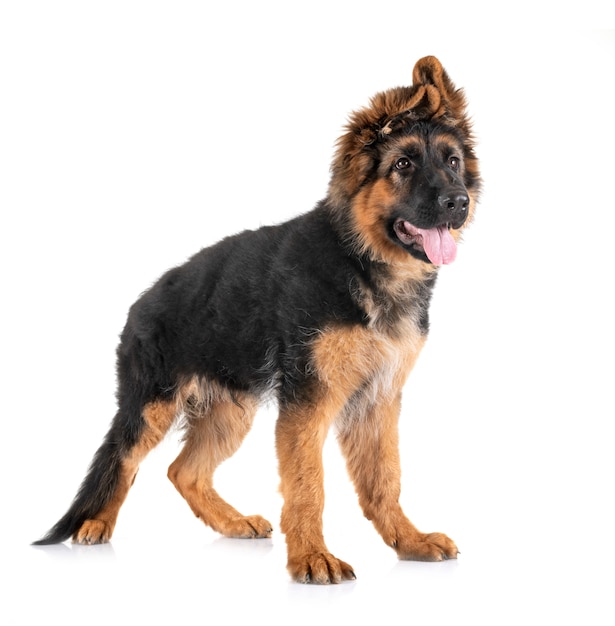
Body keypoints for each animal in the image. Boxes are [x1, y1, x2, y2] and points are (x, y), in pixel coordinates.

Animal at [35, 56, 482, 584]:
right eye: (404, 165)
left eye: (452, 162)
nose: (458, 202)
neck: (359, 258)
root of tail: (139, 304)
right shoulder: (309, 401)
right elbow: (308, 485)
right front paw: (312, 558)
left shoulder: (377, 400)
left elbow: (384, 479)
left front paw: (408, 541)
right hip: (152, 407)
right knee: (121, 458)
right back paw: (96, 524)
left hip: (231, 411)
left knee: (182, 471)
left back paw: (232, 522)